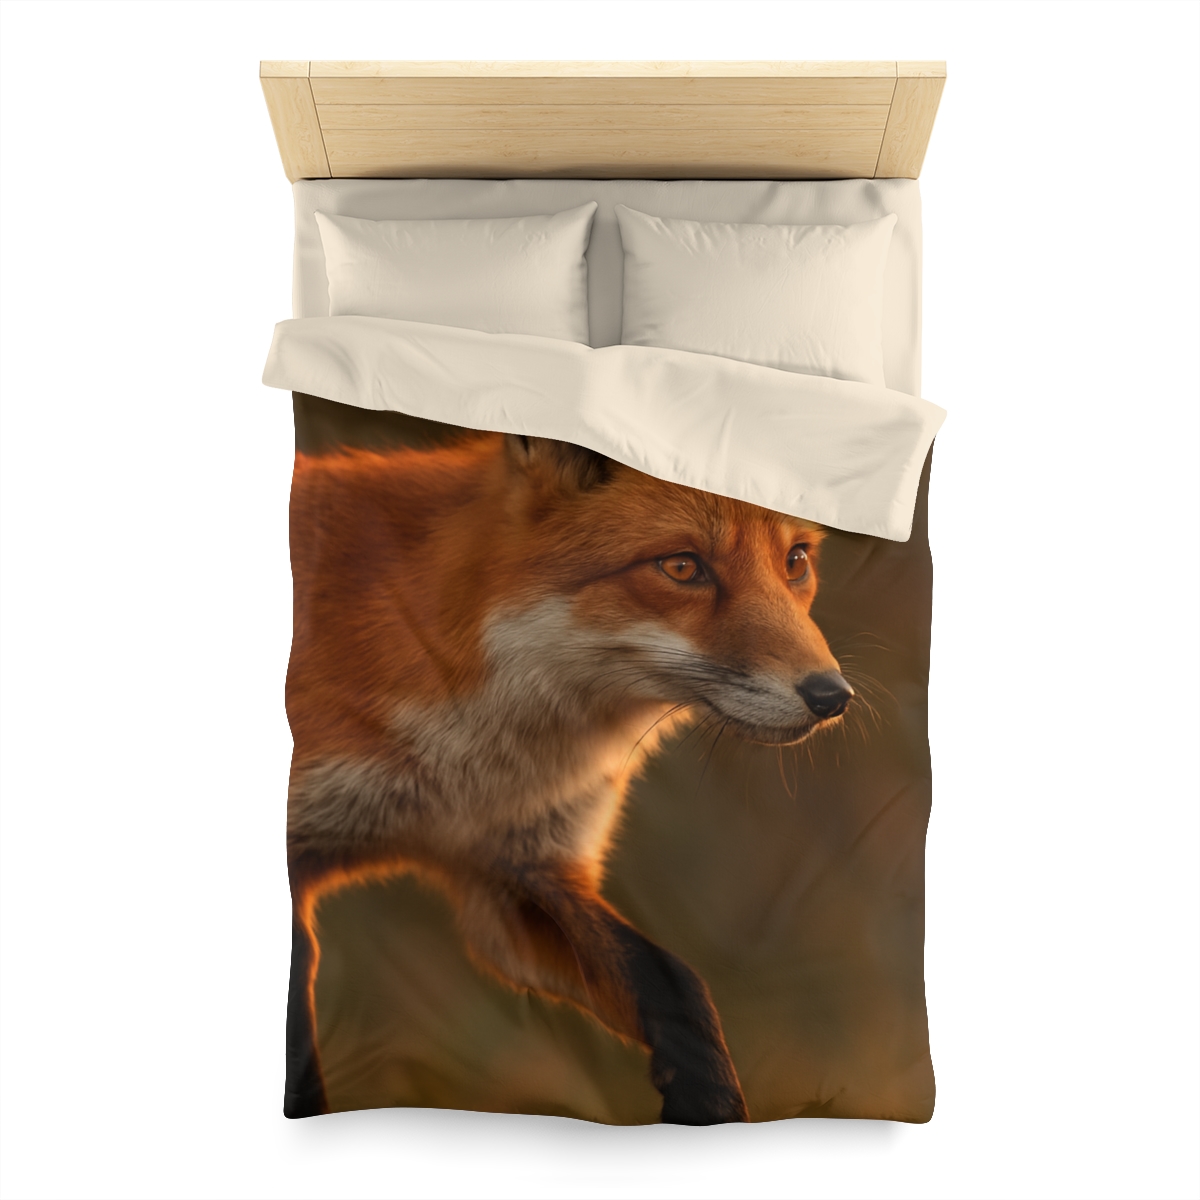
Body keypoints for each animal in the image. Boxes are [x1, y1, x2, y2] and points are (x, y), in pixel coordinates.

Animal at [284, 432, 854, 1125]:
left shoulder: (517, 875)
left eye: (795, 561)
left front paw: (709, 1100)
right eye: (682, 567)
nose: (832, 697)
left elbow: (674, 983)